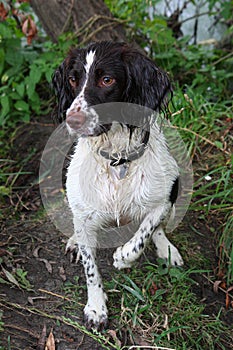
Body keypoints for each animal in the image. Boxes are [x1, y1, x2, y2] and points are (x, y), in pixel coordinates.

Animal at [52, 41, 184, 330]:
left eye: (107, 80)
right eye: (72, 79)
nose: (72, 121)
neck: (116, 160)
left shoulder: (166, 194)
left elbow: (146, 230)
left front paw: (123, 257)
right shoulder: (84, 212)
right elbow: (91, 269)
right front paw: (96, 308)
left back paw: (166, 249)